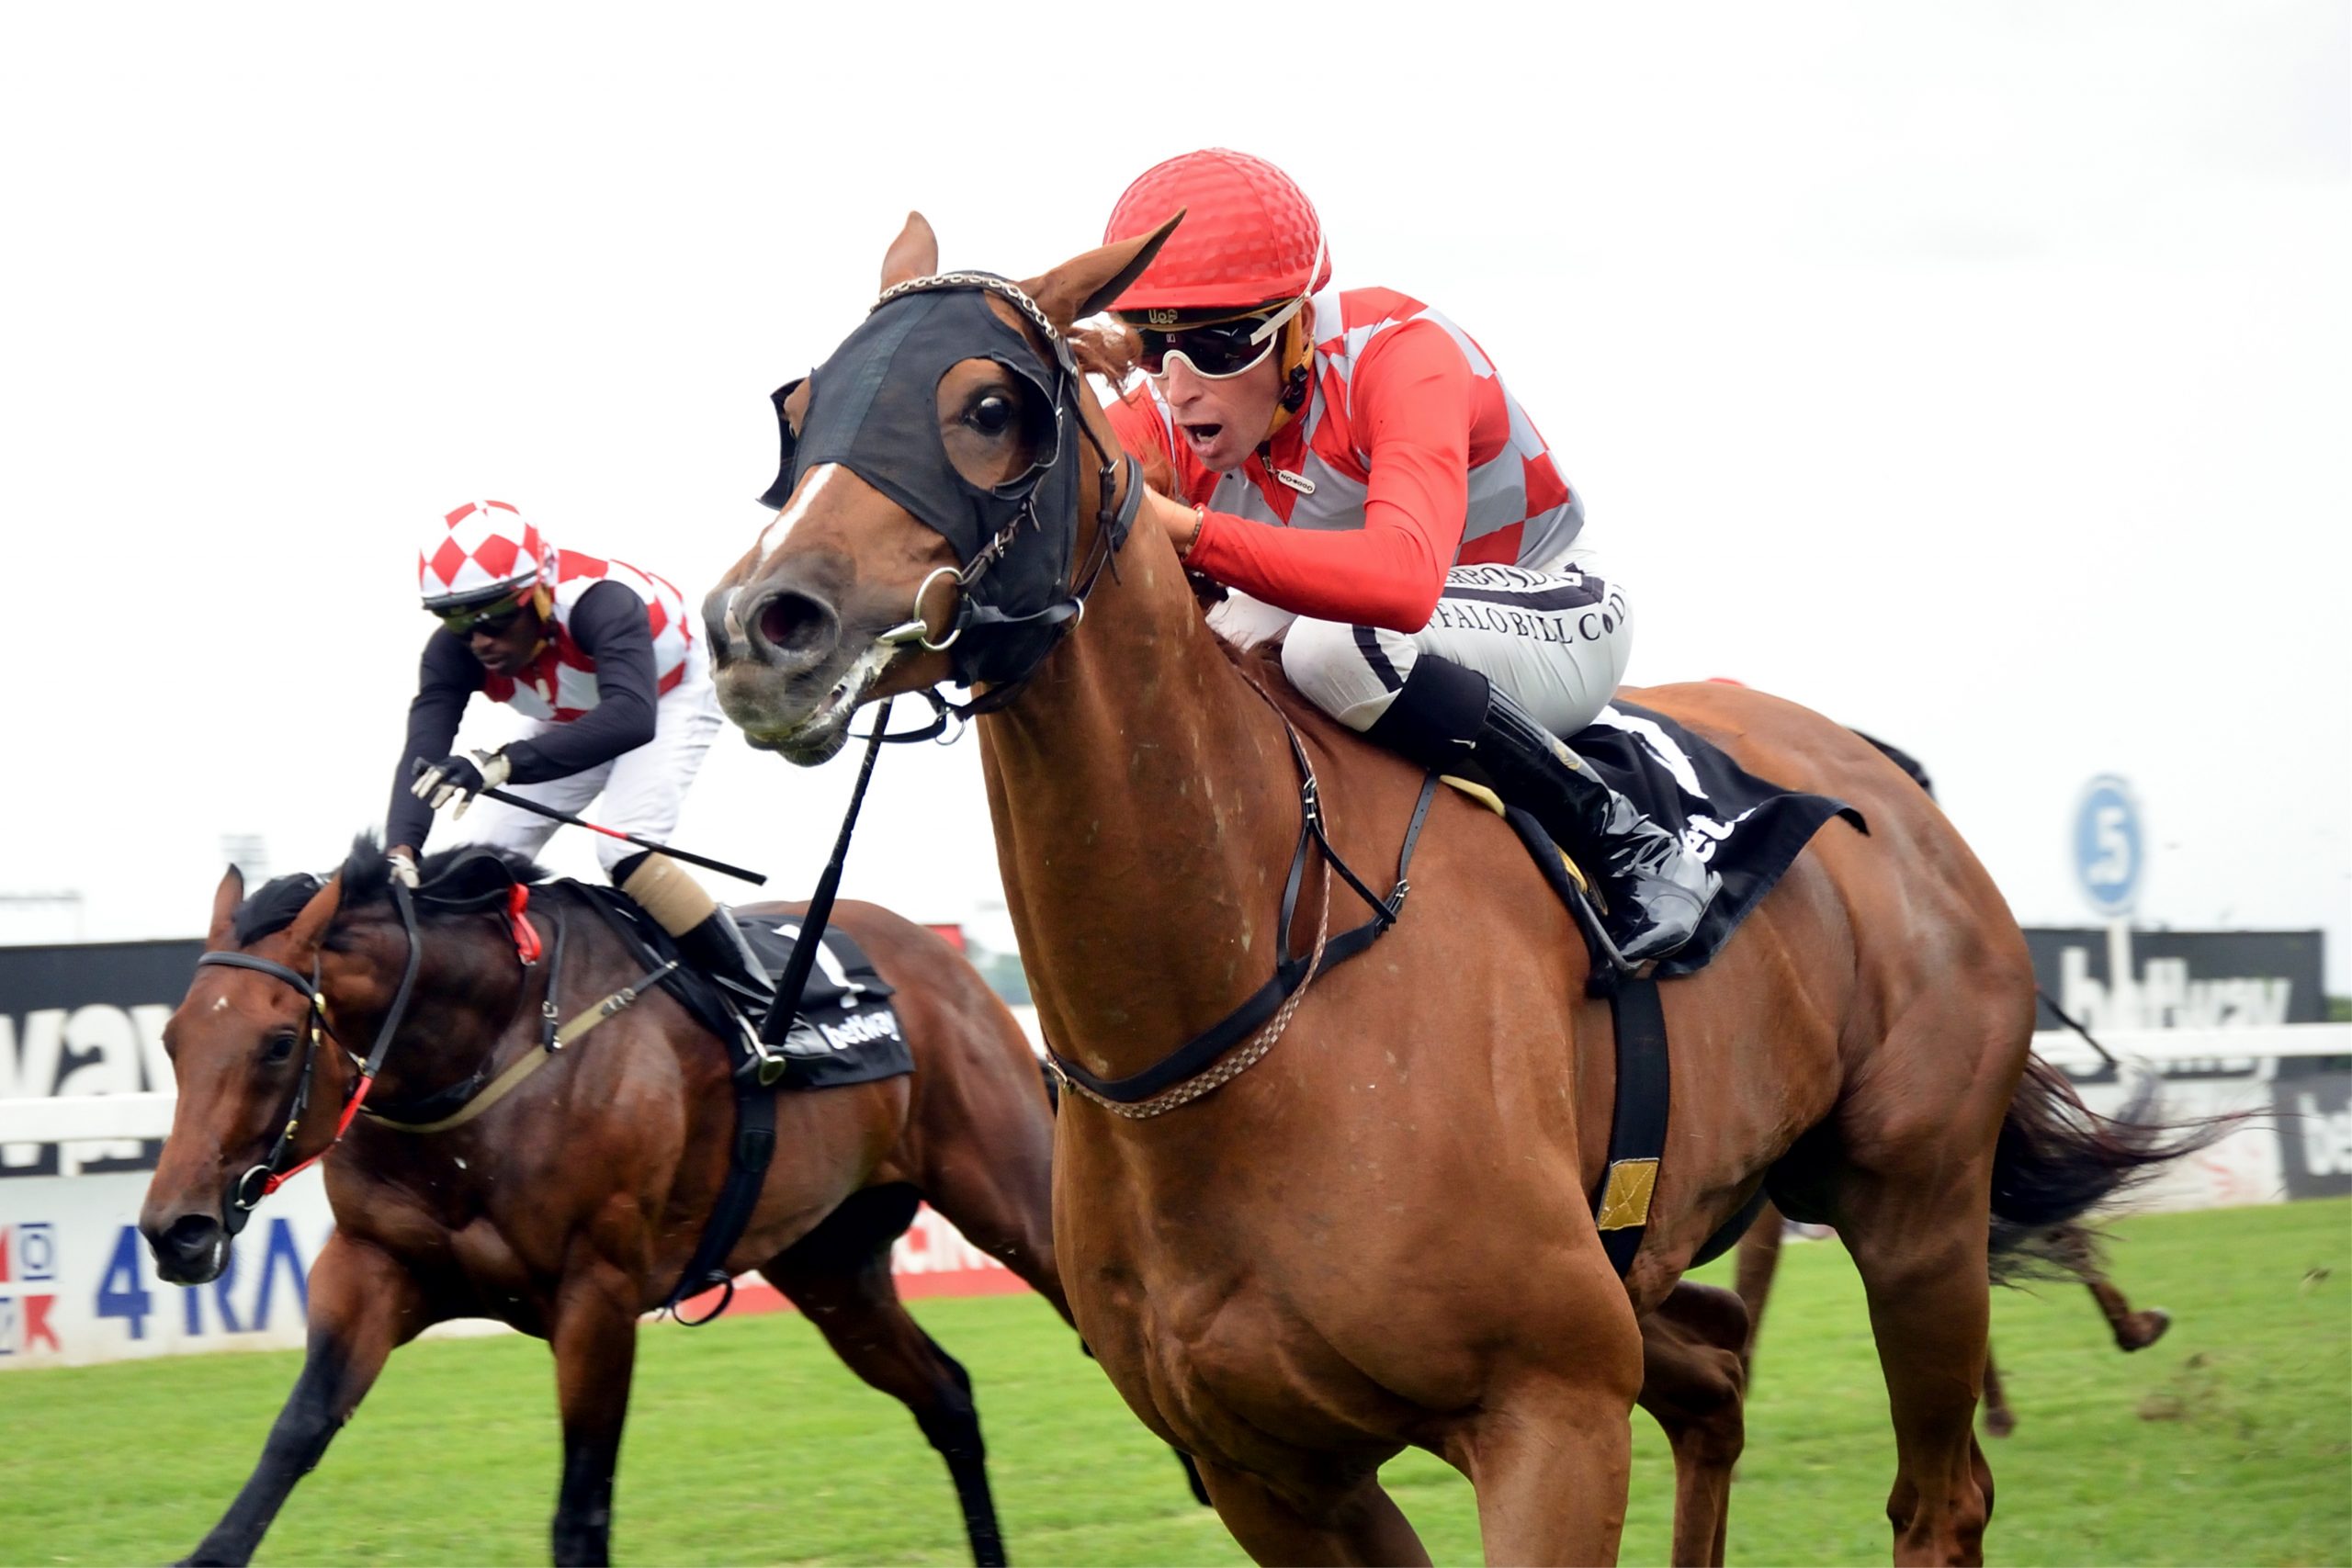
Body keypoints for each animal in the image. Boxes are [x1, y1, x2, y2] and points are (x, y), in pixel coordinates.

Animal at [133, 846, 1072, 1568]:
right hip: (831, 1267)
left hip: (1017, 1201)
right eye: (174, 1039)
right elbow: (293, 1436)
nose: (176, 1229)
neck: (485, 1051)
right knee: (947, 1396)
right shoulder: (373, 1264)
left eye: (277, 1042)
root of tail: (947, 962)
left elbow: (580, 1518)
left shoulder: (597, 1294)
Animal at [706, 215, 2191, 1561]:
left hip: (1914, 1202)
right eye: (799, 408)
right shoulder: (1269, 1470)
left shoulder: (1551, 1409)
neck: (1249, 1002)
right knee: (1718, 1375)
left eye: (989, 405)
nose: (761, 625)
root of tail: (1880, 770)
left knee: (1936, 1498)